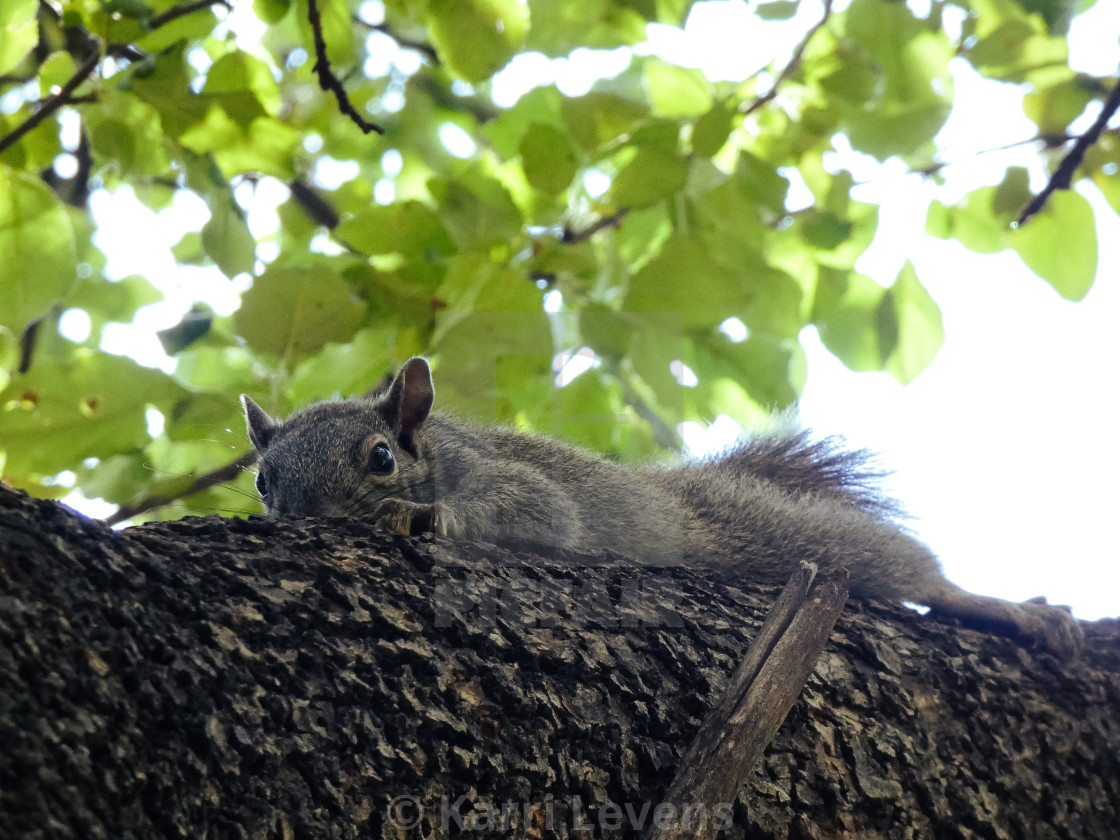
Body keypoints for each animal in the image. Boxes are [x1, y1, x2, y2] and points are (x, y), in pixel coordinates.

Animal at [243, 356, 1084, 658]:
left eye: (382, 459)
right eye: (262, 482)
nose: (300, 518)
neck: (437, 450)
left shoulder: (511, 481)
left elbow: (540, 512)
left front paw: (422, 519)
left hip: (787, 537)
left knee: (918, 574)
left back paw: (1011, 610)